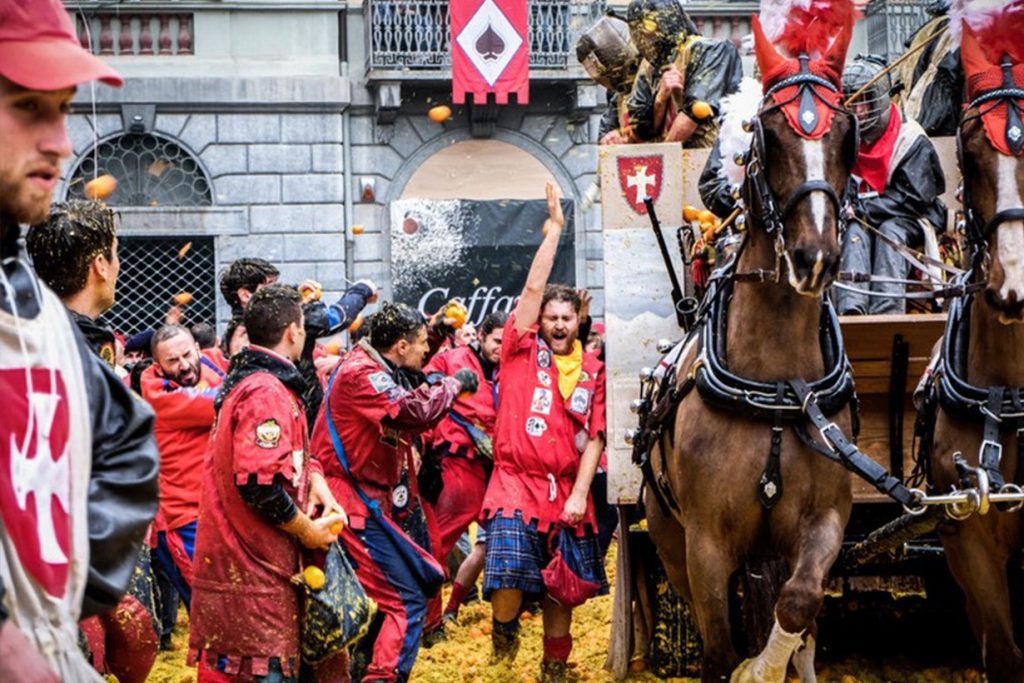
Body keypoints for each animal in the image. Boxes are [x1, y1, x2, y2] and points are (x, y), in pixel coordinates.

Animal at [643, 17, 860, 683]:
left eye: (848, 134)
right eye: (763, 133)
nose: (815, 255)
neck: (779, 389)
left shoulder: (826, 521)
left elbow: (799, 601)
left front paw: (765, 667)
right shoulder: (706, 545)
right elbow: (717, 651)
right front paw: (745, 667)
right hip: (668, 538)